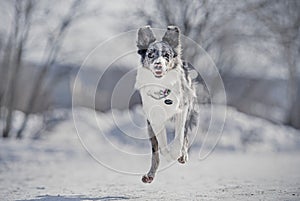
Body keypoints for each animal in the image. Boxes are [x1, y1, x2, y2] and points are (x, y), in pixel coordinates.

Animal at [137, 25, 204, 183]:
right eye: (150, 54)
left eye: (167, 55)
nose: (158, 64)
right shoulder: (154, 119)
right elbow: (160, 147)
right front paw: (168, 156)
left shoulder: (183, 109)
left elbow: (180, 136)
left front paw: (177, 153)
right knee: (155, 152)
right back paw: (150, 175)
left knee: (185, 136)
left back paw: (183, 155)